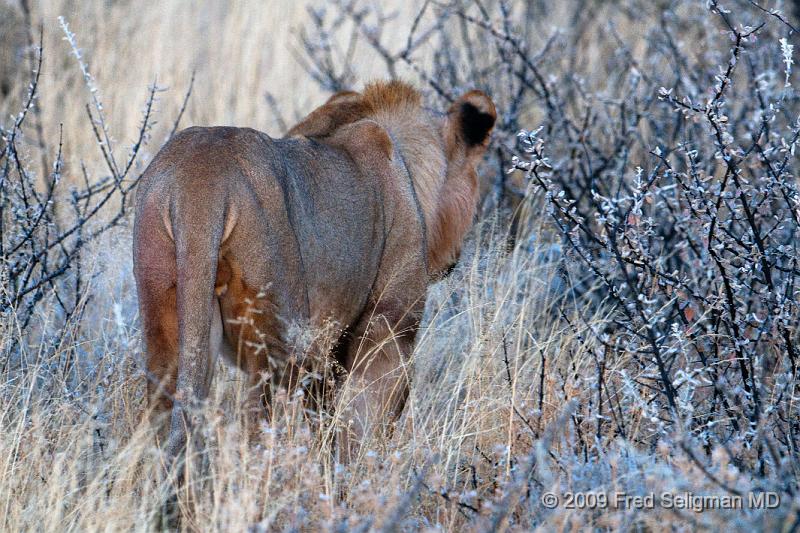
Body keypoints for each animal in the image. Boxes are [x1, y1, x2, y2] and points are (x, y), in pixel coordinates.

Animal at [134, 79, 496, 462]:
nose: (455, 259)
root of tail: (203, 186)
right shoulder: (388, 326)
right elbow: (365, 424)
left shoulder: (325, 351)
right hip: (278, 338)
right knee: (262, 426)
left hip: (165, 317)